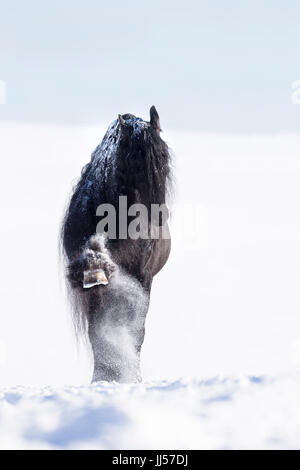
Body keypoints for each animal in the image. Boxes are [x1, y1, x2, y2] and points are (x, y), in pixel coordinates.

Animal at [61, 106, 171, 382]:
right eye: (131, 163)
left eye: (164, 158)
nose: (158, 217)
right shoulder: (93, 285)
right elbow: (97, 330)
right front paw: (103, 376)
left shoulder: (142, 277)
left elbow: (135, 329)